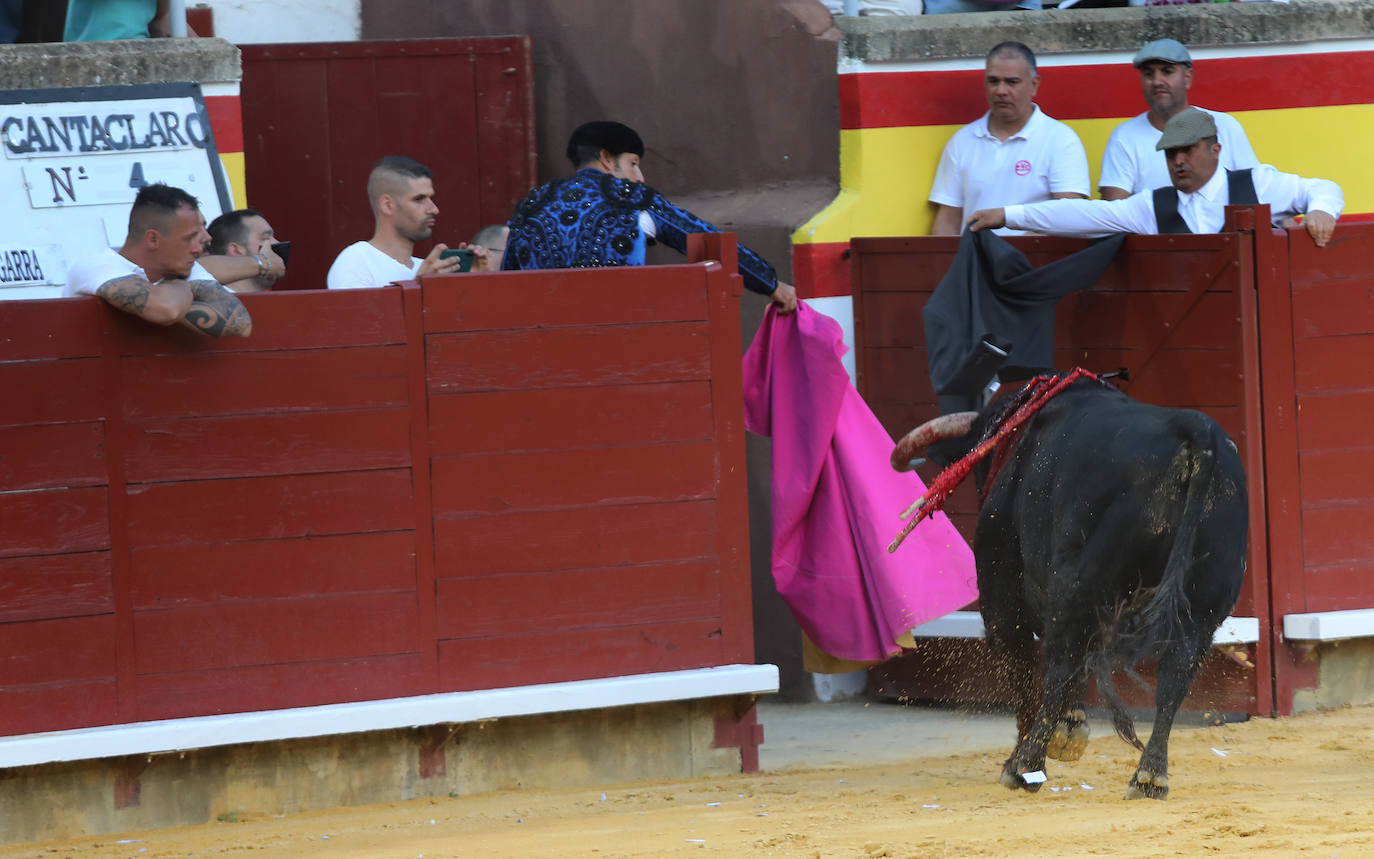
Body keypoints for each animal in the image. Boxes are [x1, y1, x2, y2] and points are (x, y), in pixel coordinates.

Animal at [895, 379, 1253, 802]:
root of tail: (1197, 432)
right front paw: (1071, 727)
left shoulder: (1002, 599)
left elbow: (1026, 670)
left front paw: (1043, 743)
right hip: (1201, 607)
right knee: (1174, 677)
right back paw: (1149, 777)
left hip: (1080, 583)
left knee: (1059, 664)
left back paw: (1024, 765)